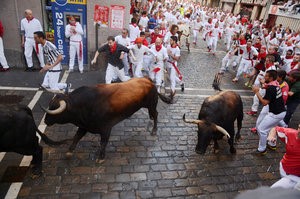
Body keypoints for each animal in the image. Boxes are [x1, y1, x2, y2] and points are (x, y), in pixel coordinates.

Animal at [42, 77, 171, 163]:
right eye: (50, 105)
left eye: (54, 108)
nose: (45, 121)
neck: (84, 104)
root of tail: (148, 80)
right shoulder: (84, 126)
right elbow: (76, 137)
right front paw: (69, 152)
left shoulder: (106, 128)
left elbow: (103, 142)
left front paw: (101, 157)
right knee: (152, 115)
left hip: (152, 104)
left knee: (156, 114)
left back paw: (154, 130)